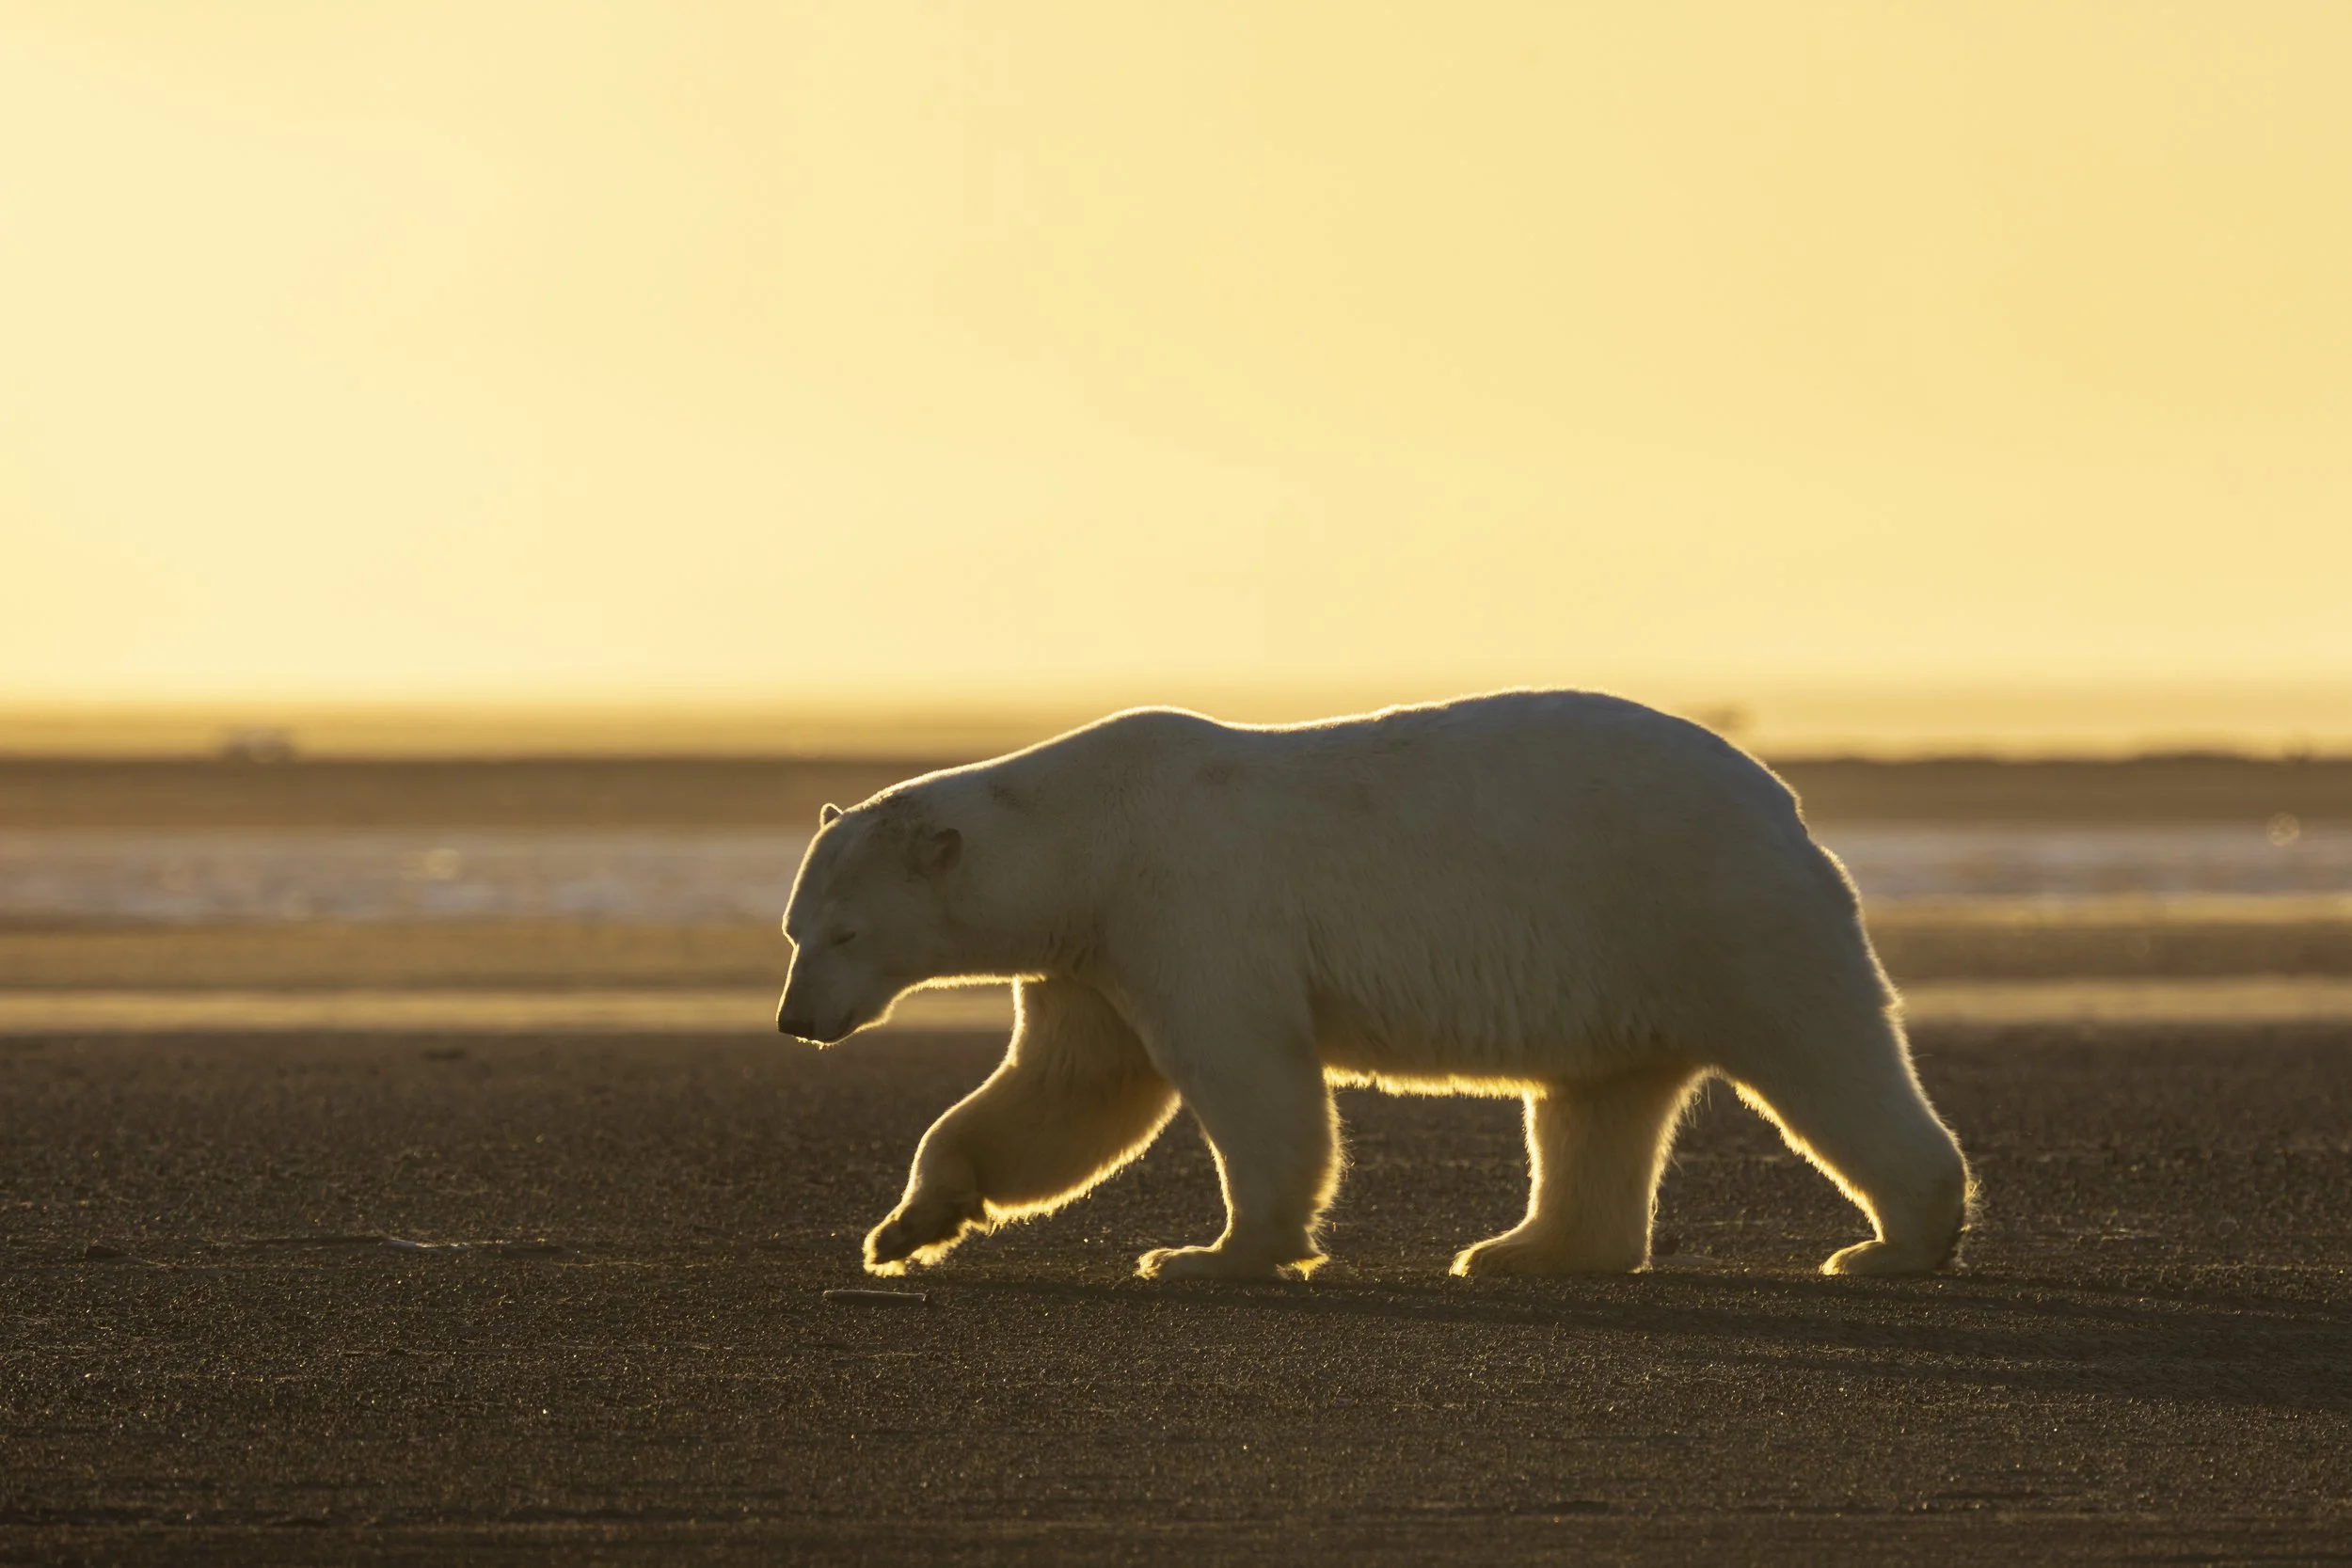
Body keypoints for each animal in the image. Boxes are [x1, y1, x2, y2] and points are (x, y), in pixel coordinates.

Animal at [775, 689, 1971, 1282]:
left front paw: (1207, 1252)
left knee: (1821, 1053)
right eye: (793, 926)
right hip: (1624, 960)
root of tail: (1781, 799)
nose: (796, 1019)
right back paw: (1520, 1250)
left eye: (840, 930)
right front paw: (908, 1224)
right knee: (1596, 1101)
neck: (1090, 828)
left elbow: (1242, 1071)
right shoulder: (1093, 950)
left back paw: (1890, 1242)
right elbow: (1067, 1092)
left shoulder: (1187, 905)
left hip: (1706, 908)